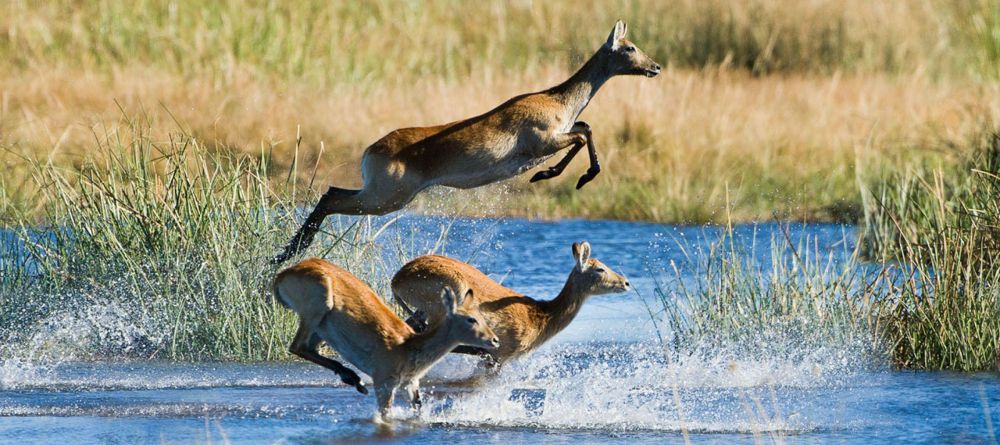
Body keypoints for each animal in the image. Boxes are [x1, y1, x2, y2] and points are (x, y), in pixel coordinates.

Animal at [272, 256, 500, 420]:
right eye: (471, 319)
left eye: (481, 317)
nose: (495, 340)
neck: (408, 347)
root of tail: (282, 274)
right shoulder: (384, 384)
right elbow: (385, 416)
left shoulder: (411, 384)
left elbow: (418, 410)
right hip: (318, 308)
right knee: (296, 346)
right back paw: (353, 379)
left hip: (321, 328)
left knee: (307, 348)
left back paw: (353, 379)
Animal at [274, 20, 664, 264]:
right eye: (629, 47)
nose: (656, 67)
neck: (558, 100)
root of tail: (372, 149)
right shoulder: (543, 142)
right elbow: (583, 134)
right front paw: (558, 176)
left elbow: (586, 127)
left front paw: (558, 175)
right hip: (385, 197)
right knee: (330, 196)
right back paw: (287, 253)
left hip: (381, 196)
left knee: (330, 193)